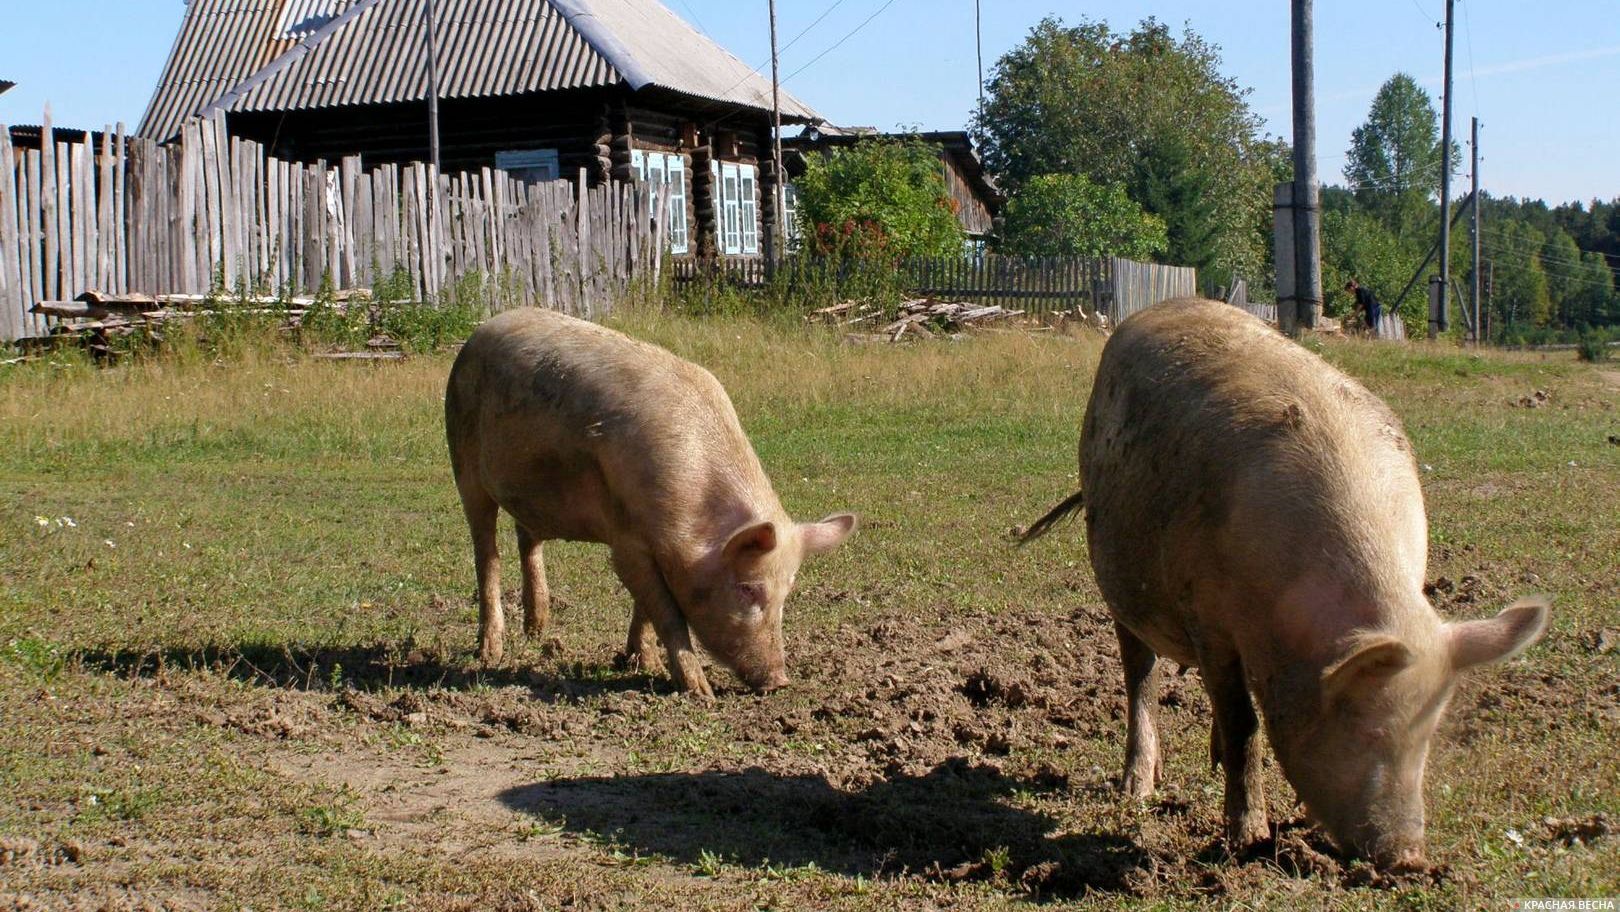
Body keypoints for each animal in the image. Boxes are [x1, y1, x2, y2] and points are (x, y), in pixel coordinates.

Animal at [437, 306, 855, 699]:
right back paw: (490, 653)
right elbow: (666, 612)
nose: (779, 681)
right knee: (487, 554)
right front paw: (700, 692)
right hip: (463, 463)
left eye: (787, 593)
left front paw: (644, 662)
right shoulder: (626, 542)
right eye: (748, 588)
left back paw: (538, 632)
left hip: (529, 489)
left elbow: (648, 608)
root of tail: (481, 330)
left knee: (528, 539)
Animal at [1023, 299, 1542, 868]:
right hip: (1119, 579)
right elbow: (1244, 723)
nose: (1407, 858)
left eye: (1427, 734)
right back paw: (1137, 789)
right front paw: (1247, 839)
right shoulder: (1208, 619)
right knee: (1140, 672)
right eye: (1366, 729)